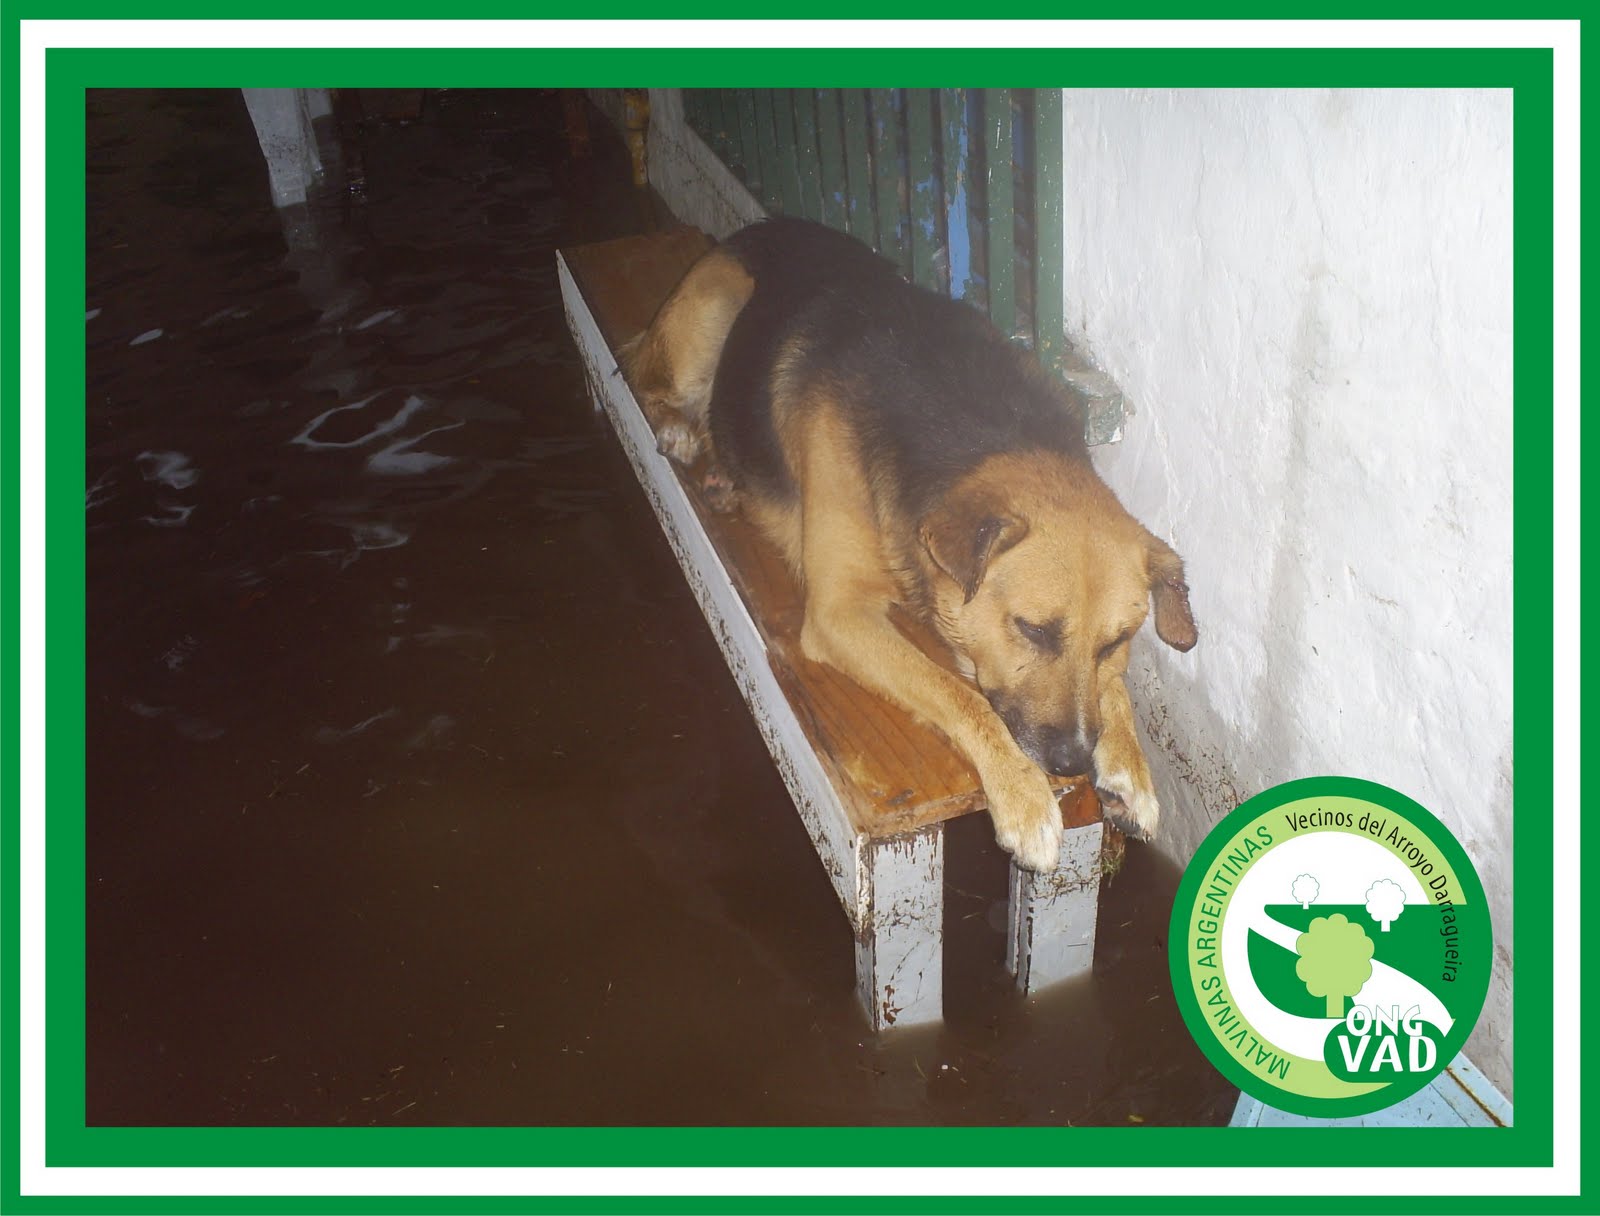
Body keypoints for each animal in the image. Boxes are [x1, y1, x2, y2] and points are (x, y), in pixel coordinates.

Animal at [623, 218, 1196, 871]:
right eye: (1032, 630)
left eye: (1116, 642)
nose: (1072, 763)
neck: (980, 426)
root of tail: (762, 226)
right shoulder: (840, 614)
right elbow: (960, 695)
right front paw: (1023, 794)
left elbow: (1108, 690)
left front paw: (1128, 765)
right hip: (718, 300)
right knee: (646, 378)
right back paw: (684, 434)